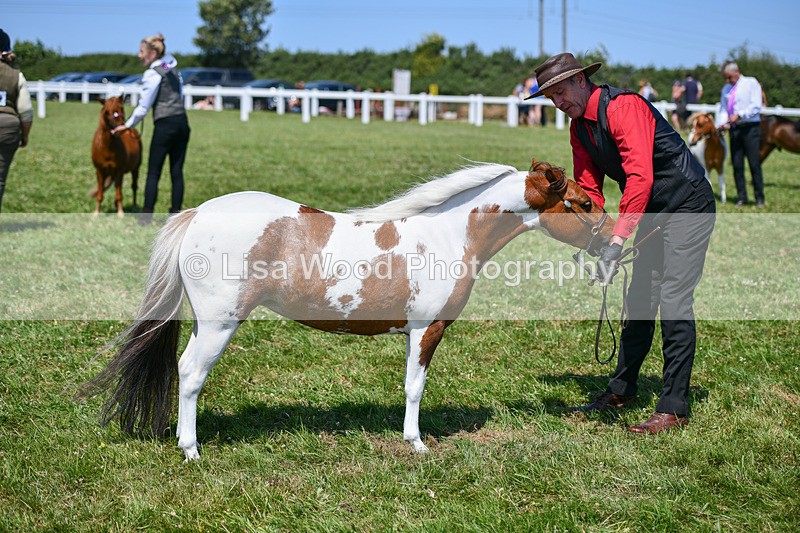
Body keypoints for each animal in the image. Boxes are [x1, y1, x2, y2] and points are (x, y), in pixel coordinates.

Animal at [85, 160, 614, 461]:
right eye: (583, 202)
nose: (613, 241)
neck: (448, 235)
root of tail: (199, 213)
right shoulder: (428, 328)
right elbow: (415, 388)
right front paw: (416, 444)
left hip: (204, 323)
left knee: (181, 369)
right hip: (219, 324)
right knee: (192, 375)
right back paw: (191, 451)